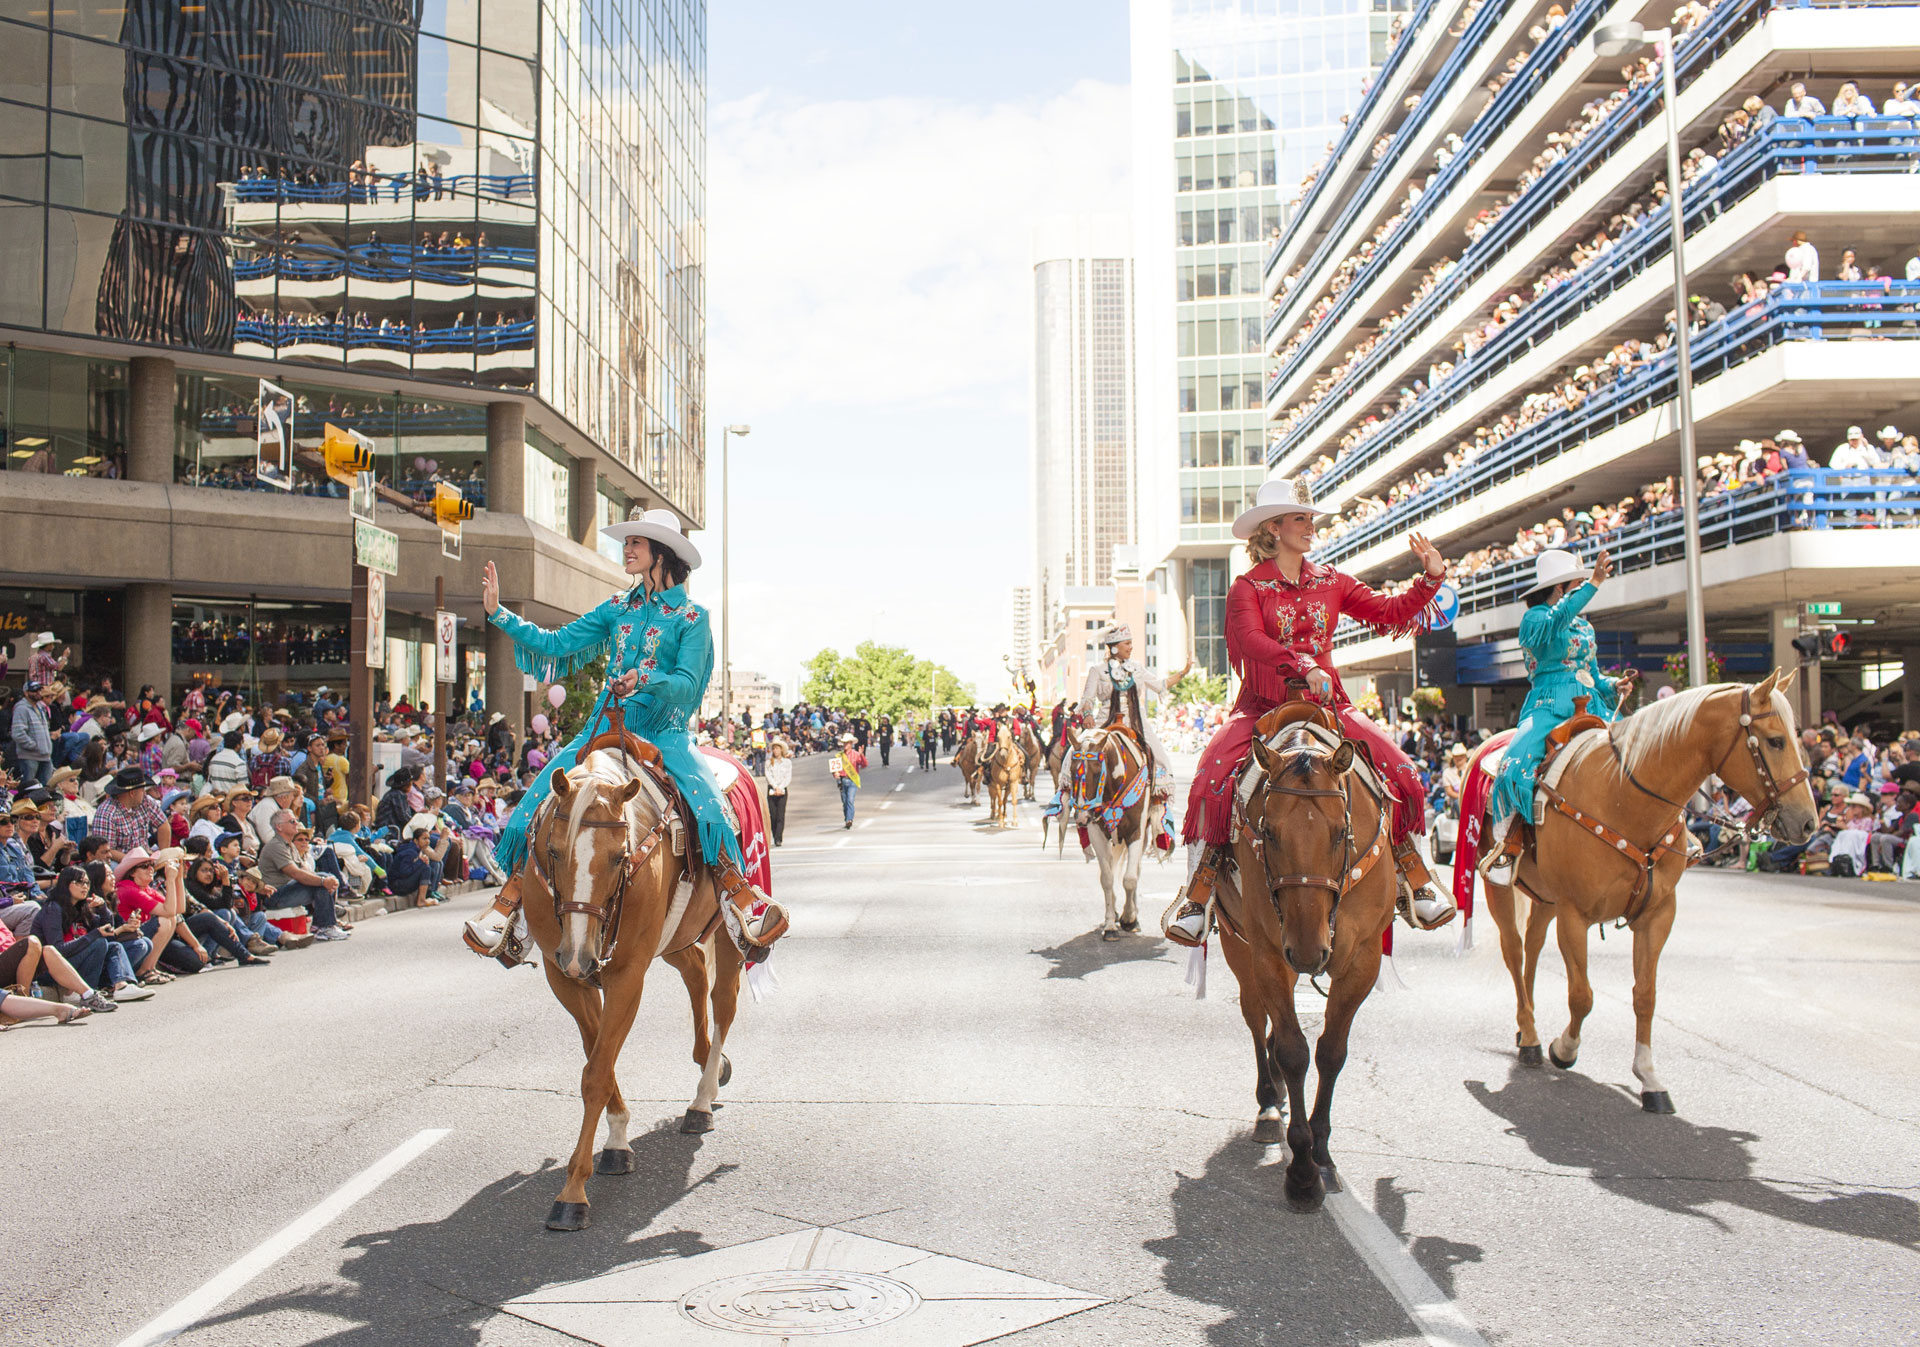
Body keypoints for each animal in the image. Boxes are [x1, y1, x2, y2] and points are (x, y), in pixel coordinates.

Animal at [522, 717, 752, 1235]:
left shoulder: (626, 974)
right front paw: (617, 1142)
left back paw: (702, 1100)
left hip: (726, 931)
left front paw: (572, 1193)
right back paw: (708, 1064)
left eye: (618, 857)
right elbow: (599, 1059)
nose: (580, 954)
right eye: (553, 851)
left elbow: (595, 1074)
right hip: (676, 938)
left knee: (723, 1002)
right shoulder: (563, 976)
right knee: (694, 974)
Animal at [1213, 713, 1397, 1220]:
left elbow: (1331, 1052)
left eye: (1339, 832)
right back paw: (1268, 1104)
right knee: (1257, 1021)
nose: (1310, 951)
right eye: (1270, 832)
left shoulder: (1363, 960)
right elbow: (1294, 1052)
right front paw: (1301, 1173)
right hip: (1241, 949)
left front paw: (1322, 1152)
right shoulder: (1269, 955)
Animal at [1474, 675, 1820, 1120]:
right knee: (1515, 952)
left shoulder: (1657, 915)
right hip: (1500, 890)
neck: (1624, 797)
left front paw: (1650, 1078)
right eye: (1776, 741)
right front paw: (1564, 1048)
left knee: (1532, 949)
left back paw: (1525, 1025)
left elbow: (1645, 996)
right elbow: (1582, 996)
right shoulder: (1574, 914)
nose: (1808, 822)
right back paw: (1532, 1038)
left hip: (1544, 897)